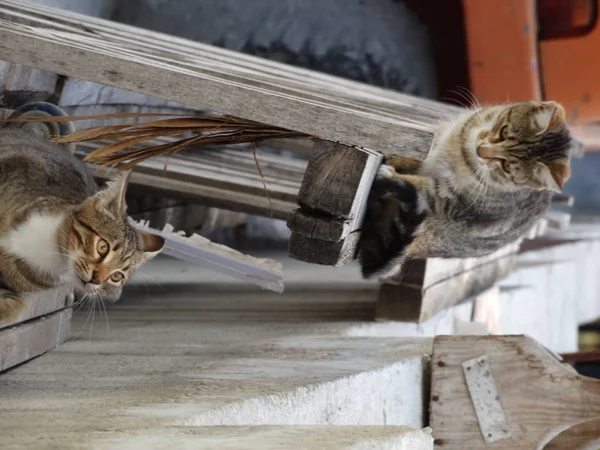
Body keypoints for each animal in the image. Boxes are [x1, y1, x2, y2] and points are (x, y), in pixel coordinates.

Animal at [356, 100, 572, 280]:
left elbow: (421, 186)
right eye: (504, 132)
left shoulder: (453, 201)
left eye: (506, 166)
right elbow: (421, 158)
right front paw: (398, 158)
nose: (480, 150)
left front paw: (392, 173)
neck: (462, 156)